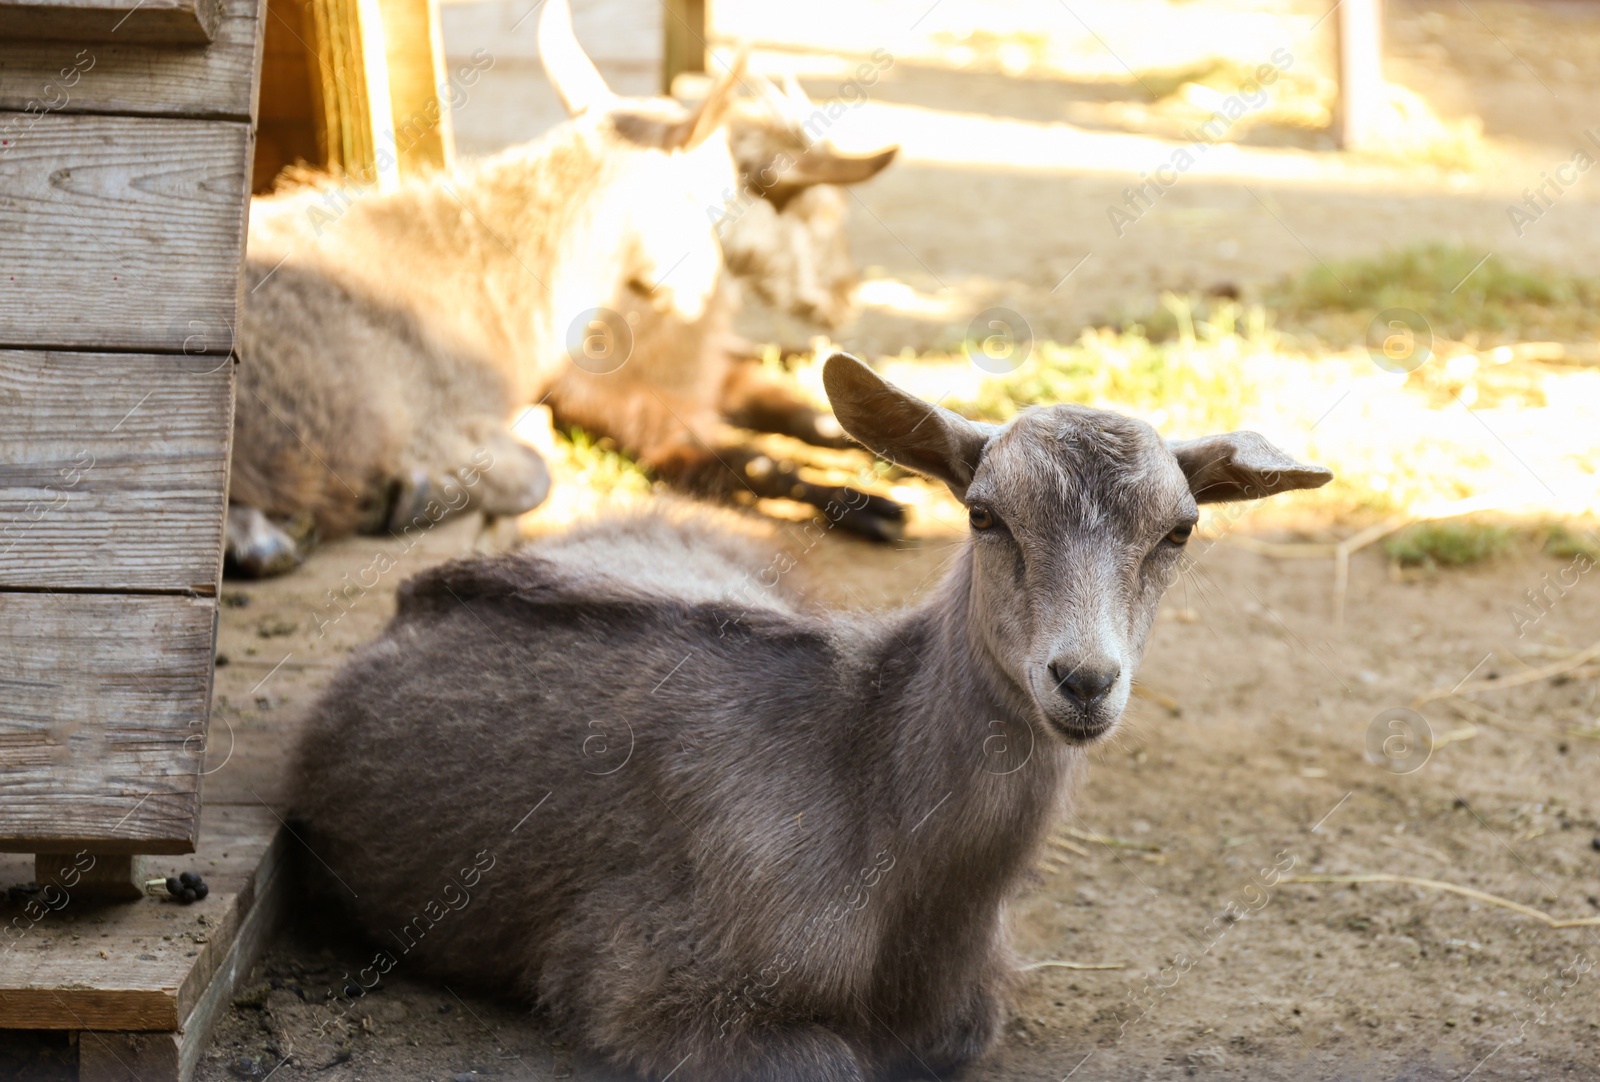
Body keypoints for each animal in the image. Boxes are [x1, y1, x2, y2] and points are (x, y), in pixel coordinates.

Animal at [294, 355, 1331, 1082]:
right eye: (985, 515)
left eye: (1180, 529)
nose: (1083, 680)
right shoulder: (636, 982)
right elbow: (829, 1059)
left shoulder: (970, 998)